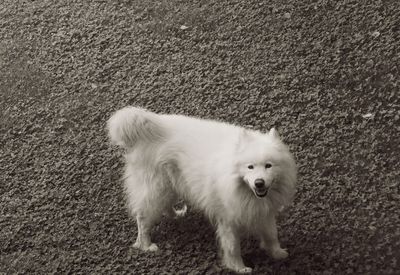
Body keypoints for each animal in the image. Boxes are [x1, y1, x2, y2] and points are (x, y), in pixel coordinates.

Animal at [108, 108, 296, 274]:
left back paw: (175, 214)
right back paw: (146, 245)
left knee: (165, 205)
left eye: (268, 165)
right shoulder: (227, 220)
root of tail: (153, 126)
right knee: (142, 218)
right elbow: (233, 247)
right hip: (156, 188)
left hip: (171, 185)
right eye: (250, 167)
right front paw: (239, 268)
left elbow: (271, 234)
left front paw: (277, 253)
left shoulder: (265, 212)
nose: (259, 183)